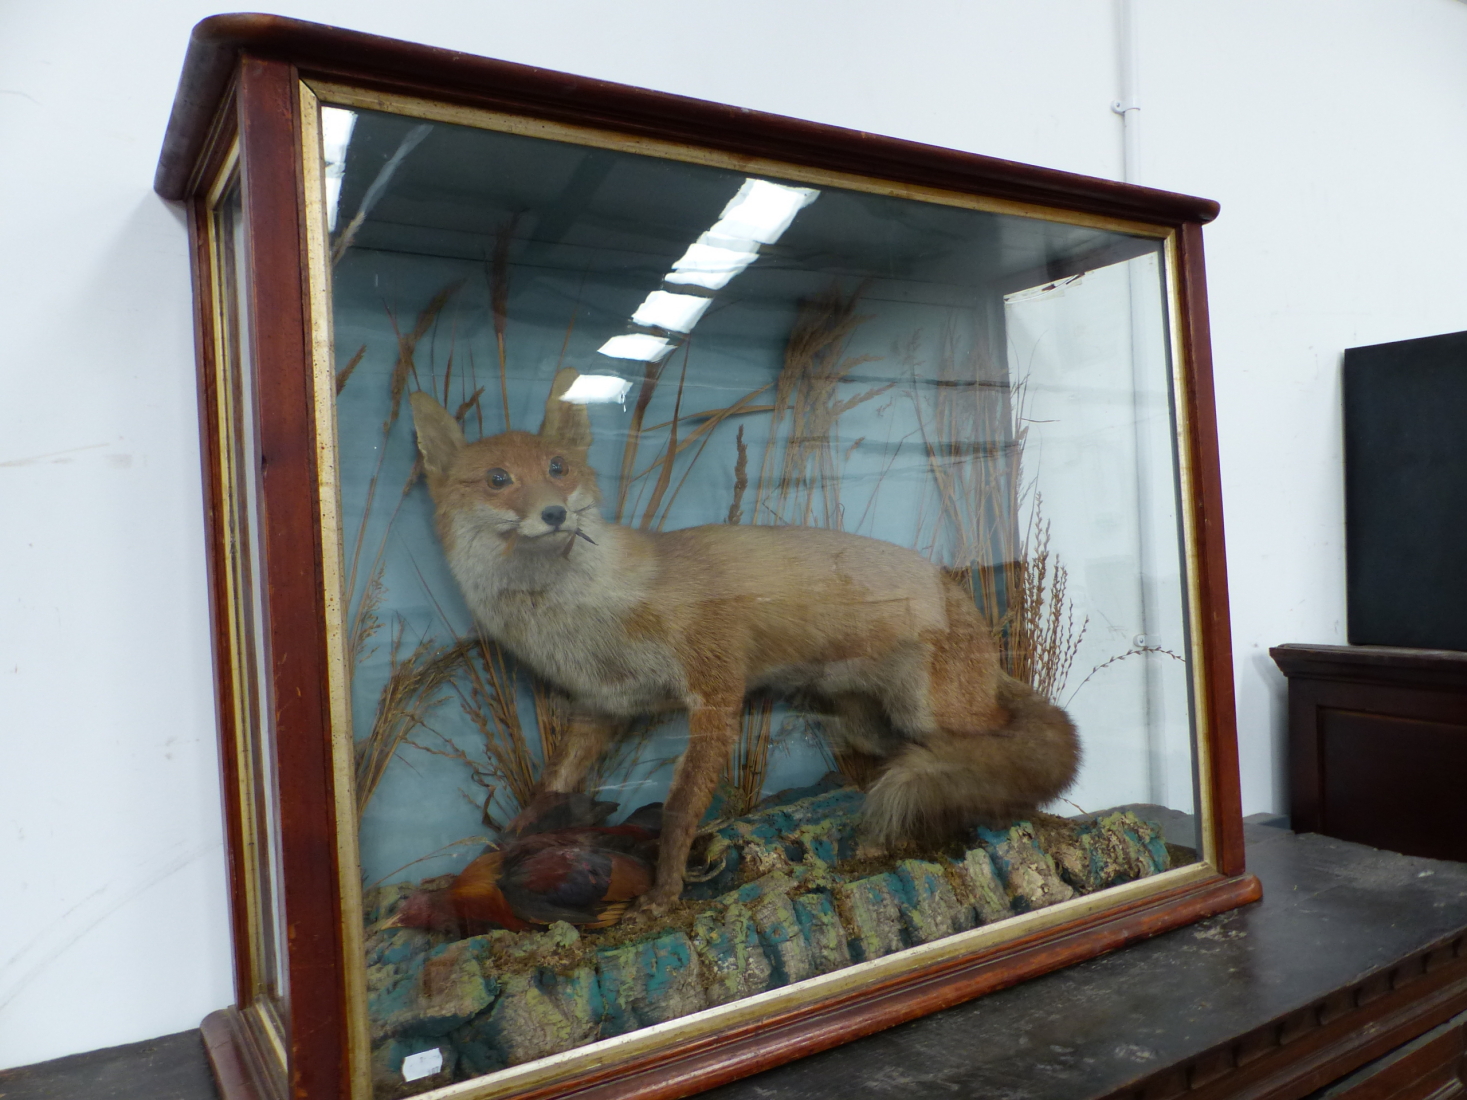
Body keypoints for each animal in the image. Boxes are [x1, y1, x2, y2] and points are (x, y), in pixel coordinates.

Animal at [410, 375, 1079, 915]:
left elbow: (681, 807)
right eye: (497, 480)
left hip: (937, 714)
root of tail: (962, 600)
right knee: (900, 758)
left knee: (998, 754)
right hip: (864, 722)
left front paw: (664, 893)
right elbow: (549, 791)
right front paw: (502, 851)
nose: (553, 513)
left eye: (557, 468)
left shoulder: (715, 688)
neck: (584, 618)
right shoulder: (600, 708)